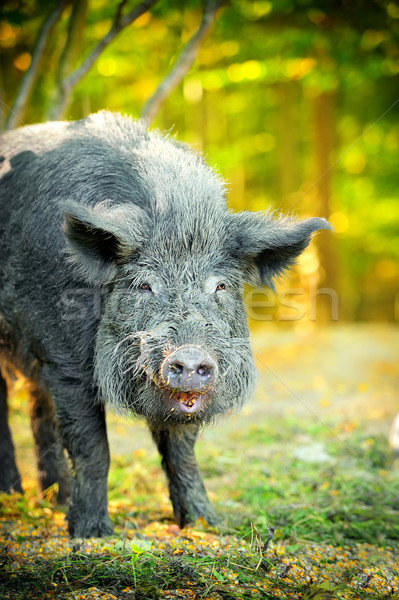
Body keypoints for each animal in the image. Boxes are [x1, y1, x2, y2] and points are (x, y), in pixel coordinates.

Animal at [0, 110, 332, 536]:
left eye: (220, 285)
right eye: (145, 285)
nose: (189, 357)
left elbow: (182, 451)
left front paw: (207, 525)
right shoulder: (65, 360)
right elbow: (93, 448)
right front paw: (91, 535)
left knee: (37, 405)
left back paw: (53, 503)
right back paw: (13, 498)